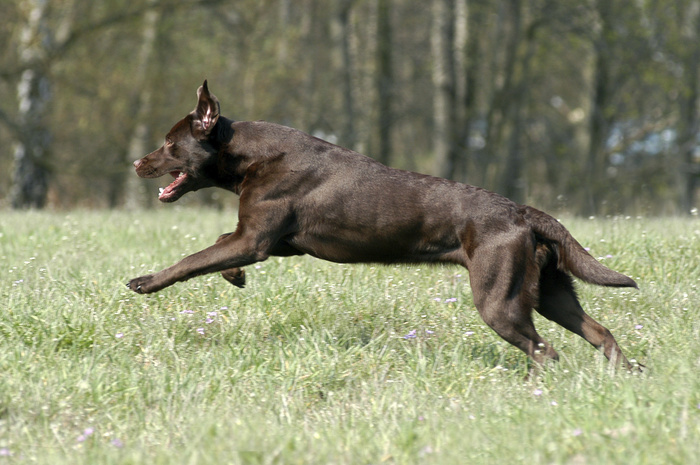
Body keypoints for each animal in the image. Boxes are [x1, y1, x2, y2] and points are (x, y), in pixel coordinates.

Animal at [129, 80, 644, 370]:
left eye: (169, 145)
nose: (136, 162)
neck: (250, 155)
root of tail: (522, 212)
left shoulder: (256, 238)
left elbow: (191, 259)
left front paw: (145, 281)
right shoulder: (275, 240)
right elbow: (217, 244)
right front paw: (233, 276)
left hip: (500, 301)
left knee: (546, 352)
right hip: (550, 292)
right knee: (599, 332)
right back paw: (629, 374)